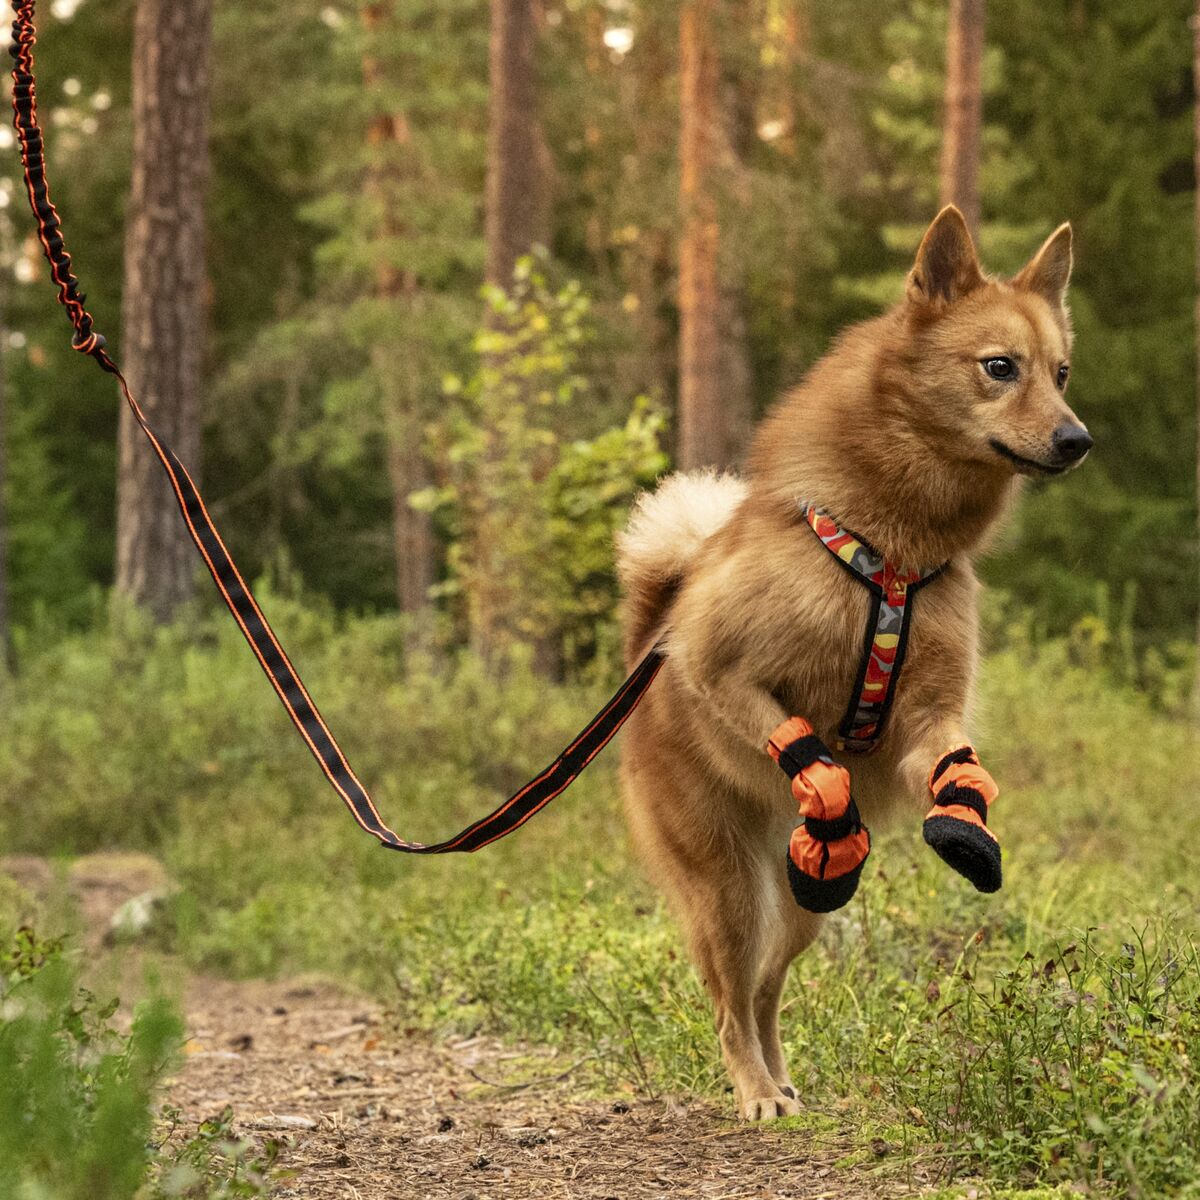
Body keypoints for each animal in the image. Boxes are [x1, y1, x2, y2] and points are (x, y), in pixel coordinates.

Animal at [619, 206, 1089, 1113]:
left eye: (1061, 372)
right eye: (1000, 368)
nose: (1078, 439)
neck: (895, 551)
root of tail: (644, 638)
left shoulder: (929, 717)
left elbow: (955, 766)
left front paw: (965, 817)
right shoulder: (720, 668)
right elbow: (814, 757)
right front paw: (826, 797)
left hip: (800, 911)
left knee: (768, 987)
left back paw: (783, 1079)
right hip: (726, 890)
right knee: (730, 1002)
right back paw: (755, 1090)